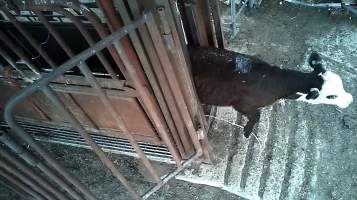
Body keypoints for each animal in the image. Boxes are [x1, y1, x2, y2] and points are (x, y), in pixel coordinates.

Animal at [191, 47, 352, 138]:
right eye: (331, 96)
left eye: (341, 83)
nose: (350, 99)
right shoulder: (243, 104)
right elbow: (257, 116)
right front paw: (247, 132)